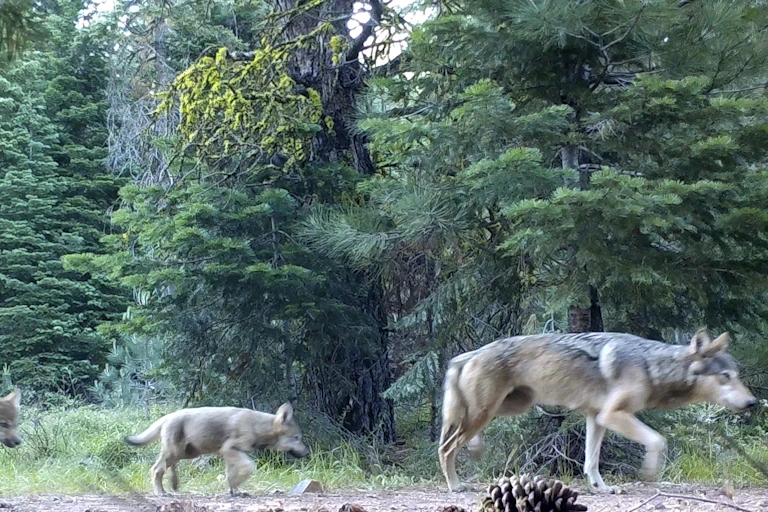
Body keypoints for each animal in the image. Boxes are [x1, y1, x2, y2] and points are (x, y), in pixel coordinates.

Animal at [125, 402, 309, 495]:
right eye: (297, 438)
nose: (308, 453)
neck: (257, 427)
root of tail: (167, 416)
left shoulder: (229, 454)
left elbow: (231, 476)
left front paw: (235, 491)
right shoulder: (229, 450)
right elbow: (249, 467)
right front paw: (235, 488)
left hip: (185, 454)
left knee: (167, 468)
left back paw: (173, 485)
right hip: (176, 453)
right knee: (156, 469)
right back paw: (161, 492)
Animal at [439, 329, 757, 493]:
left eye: (737, 375)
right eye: (725, 377)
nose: (753, 403)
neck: (652, 367)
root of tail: (468, 354)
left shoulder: (596, 417)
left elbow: (590, 461)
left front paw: (600, 488)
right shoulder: (612, 415)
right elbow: (658, 440)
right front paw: (649, 473)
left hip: (511, 407)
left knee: (459, 438)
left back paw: (475, 450)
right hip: (487, 412)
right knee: (446, 447)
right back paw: (455, 485)